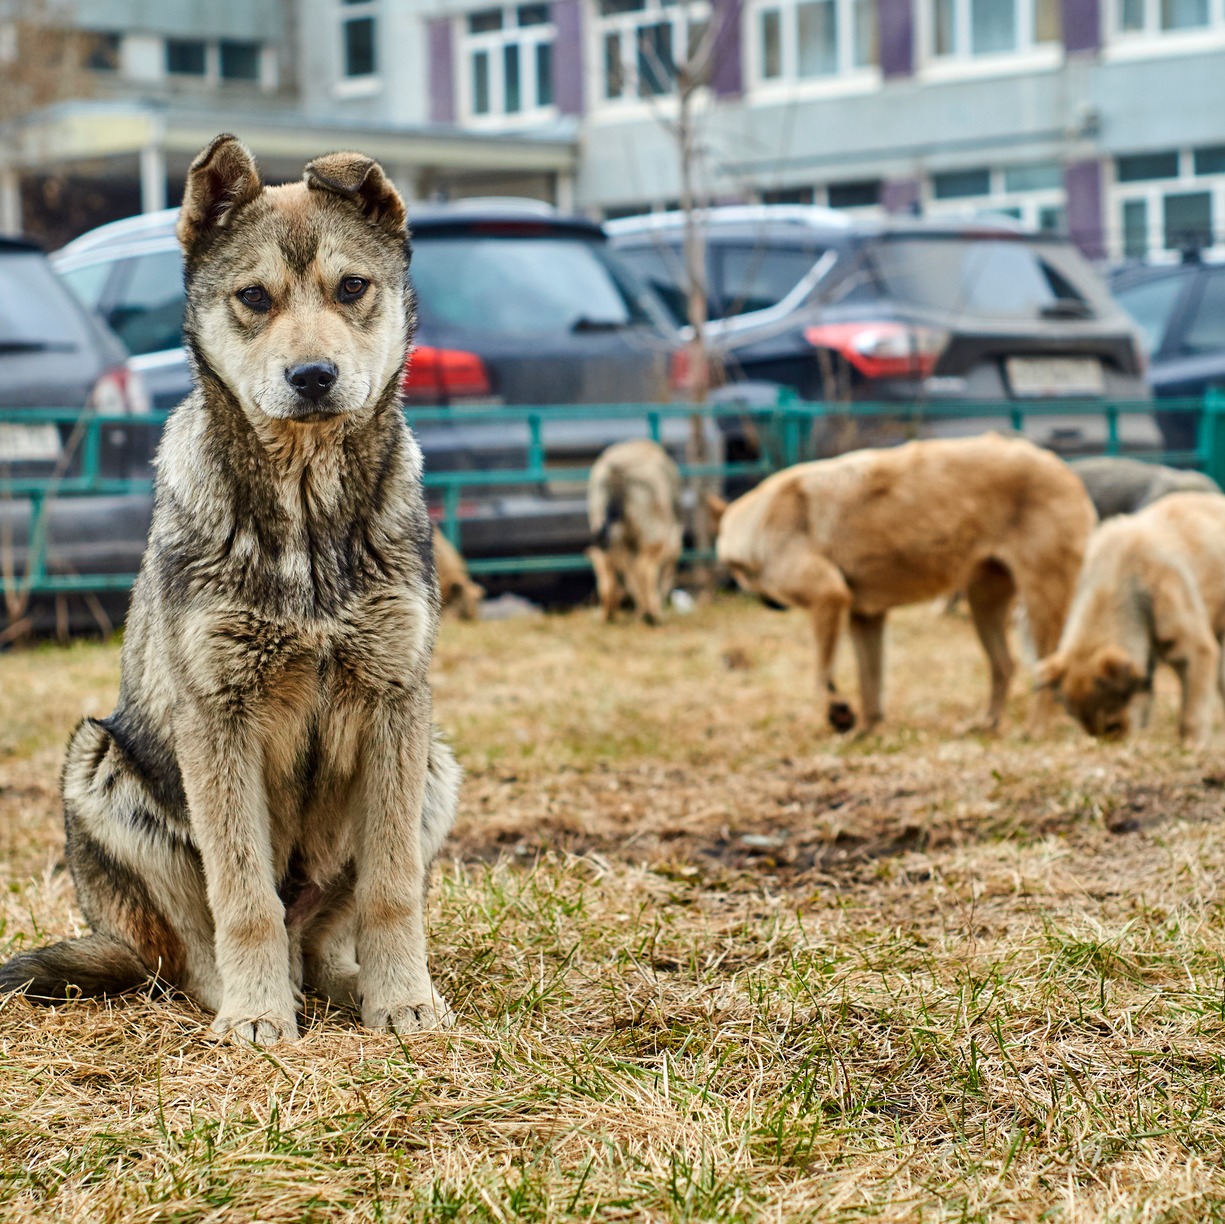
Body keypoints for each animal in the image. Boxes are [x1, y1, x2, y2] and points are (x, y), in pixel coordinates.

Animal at [0, 136, 460, 1053]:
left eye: (351, 287)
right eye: (254, 298)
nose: (313, 375)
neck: (307, 518)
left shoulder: (397, 703)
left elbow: (393, 888)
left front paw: (404, 1002)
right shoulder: (218, 716)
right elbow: (241, 894)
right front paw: (257, 1017)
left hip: (434, 764)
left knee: (323, 936)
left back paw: (345, 983)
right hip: (99, 765)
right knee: (195, 950)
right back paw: (247, 997)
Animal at [588, 441, 686, 627]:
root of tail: (615, 469)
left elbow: (630, 576)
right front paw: (648, 612)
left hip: (603, 528)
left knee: (606, 566)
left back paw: (608, 614)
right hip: (652, 533)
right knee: (644, 569)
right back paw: (653, 615)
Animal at [715, 433, 1097, 730]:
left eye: (738, 575)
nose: (764, 601)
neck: (760, 519)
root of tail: (1063, 467)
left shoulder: (829, 598)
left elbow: (822, 676)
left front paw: (838, 714)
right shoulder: (865, 618)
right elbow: (870, 685)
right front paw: (866, 732)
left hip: (1039, 601)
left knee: (1048, 668)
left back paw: (1036, 728)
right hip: (984, 605)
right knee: (1004, 666)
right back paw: (987, 723)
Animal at [1033, 490, 1225, 740]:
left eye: (1112, 725)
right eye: (1091, 731)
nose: (1111, 742)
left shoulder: (1196, 649)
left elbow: (1191, 713)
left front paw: (1190, 744)